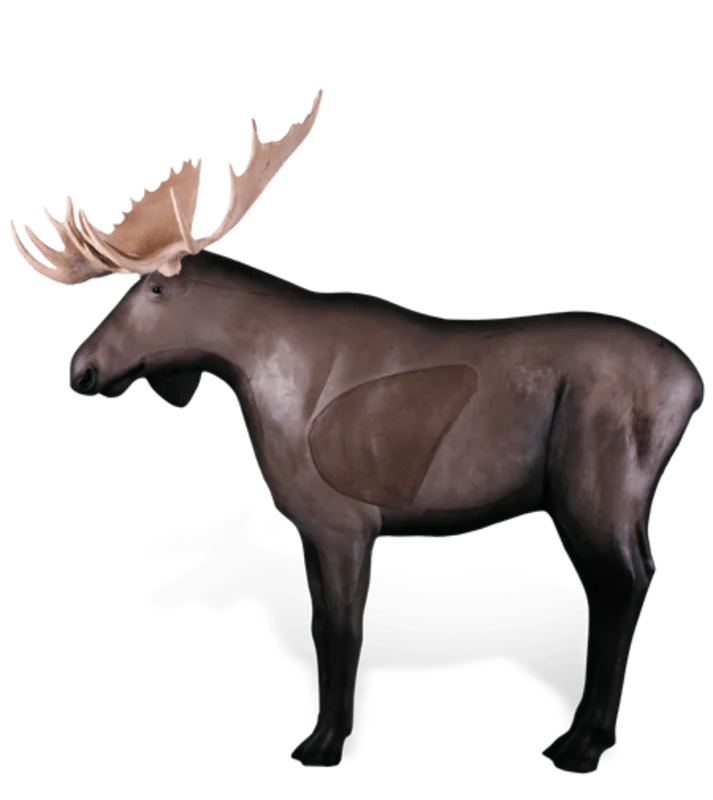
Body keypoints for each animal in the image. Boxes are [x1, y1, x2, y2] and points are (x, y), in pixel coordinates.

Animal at [9, 87, 703, 772]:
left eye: (154, 287)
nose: (82, 369)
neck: (258, 376)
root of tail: (692, 384)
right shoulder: (312, 530)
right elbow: (322, 628)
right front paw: (319, 734)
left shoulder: (346, 521)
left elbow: (343, 633)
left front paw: (325, 743)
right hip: (623, 499)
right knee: (639, 576)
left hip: (593, 488)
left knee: (618, 586)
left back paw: (583, 742)